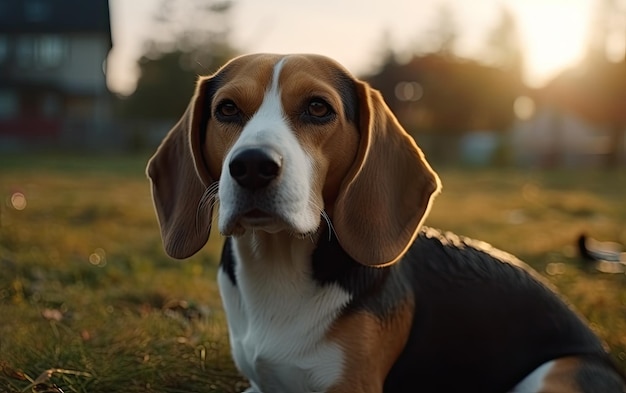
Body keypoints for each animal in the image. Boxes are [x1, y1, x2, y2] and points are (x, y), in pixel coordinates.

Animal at [147, 52, 624, 392]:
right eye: (227, 109)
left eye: (318, 108)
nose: (251, 166)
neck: (279, 264)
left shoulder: (352, 386)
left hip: (556, 374)